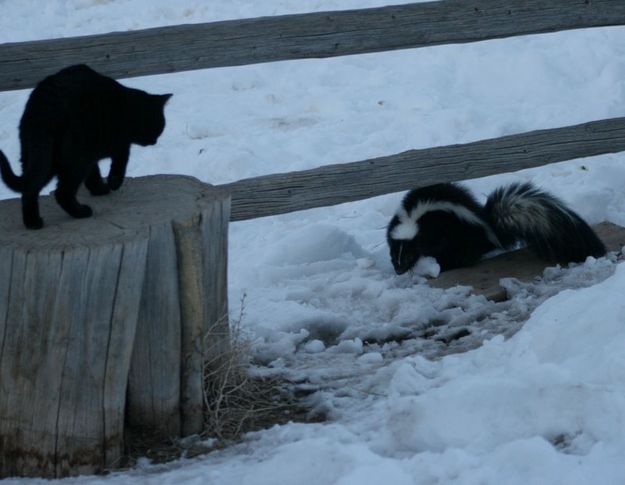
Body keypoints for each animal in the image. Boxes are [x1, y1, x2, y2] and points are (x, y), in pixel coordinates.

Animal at [0, 63, 171, 228]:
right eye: (159, 127)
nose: (154, 141)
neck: (125, 110)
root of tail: (46, 105)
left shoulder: (91, 154)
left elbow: (94, 172)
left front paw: (98, 189)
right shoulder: (114, 145)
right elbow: (121, 159)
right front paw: (113, 183)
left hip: (41, 157)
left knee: (30, 188)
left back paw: (33, 222)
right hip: (73, 160)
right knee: (61, 193)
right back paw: (81, 212)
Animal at [386, 182, 604, 274]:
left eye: (408, 255)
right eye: (394, 256)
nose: (398, 271)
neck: (412, 217)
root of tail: (489, 225)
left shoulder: (435, 230)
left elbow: (432, 245)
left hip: (462, 238)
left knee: (461, 256)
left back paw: (448, 265)